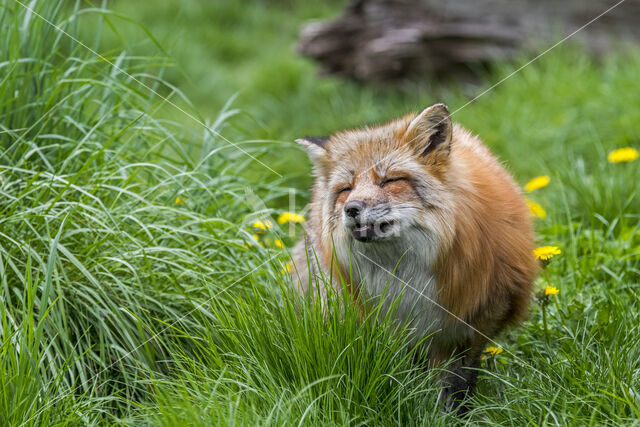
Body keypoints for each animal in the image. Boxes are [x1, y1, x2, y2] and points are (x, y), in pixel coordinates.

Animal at [292, 103, 536, 414]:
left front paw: (454, 414)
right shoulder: (383, 323)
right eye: (346, 189)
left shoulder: (477, 318)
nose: (352, 208)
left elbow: (457, 380)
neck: (404, 279)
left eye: (389, 180)